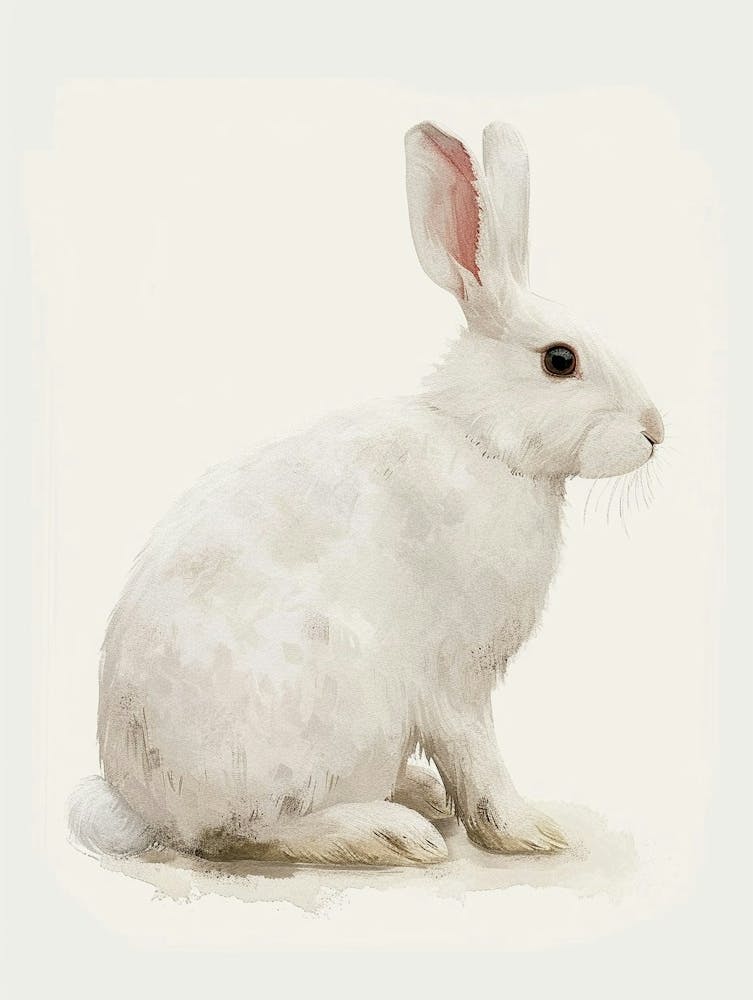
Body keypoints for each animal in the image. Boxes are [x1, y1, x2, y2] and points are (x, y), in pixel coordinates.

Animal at [68, 121, 664, 866]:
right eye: (560, 360)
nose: (656, 431)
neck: (483, 441)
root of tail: (146, 808)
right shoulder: (453, 679)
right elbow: (477, 755)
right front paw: (527, 832)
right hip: (330, 714)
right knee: (241, 834)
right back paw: (387, 833)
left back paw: (416, 796)